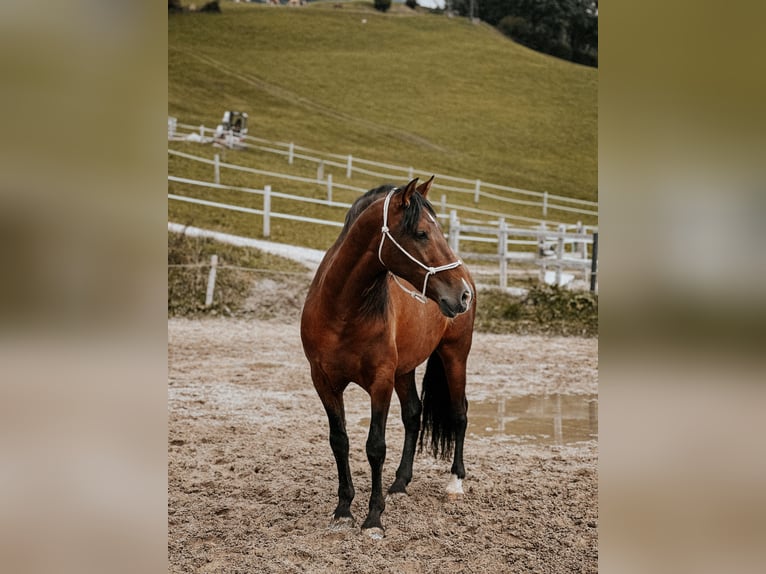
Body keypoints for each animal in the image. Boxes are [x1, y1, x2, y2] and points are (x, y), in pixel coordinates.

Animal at [302, 177, 476, 540]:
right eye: (422, 233)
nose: (462, 294)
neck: (342, 311)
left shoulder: (379, 382)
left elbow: (375, 446)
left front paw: (373, 518)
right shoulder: (324, 382)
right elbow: (339, 441)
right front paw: (343, 510)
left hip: (454, 355)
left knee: (459, 413)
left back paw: (454, 483)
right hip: (404, 371)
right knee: (413, 415)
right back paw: (399, 484)